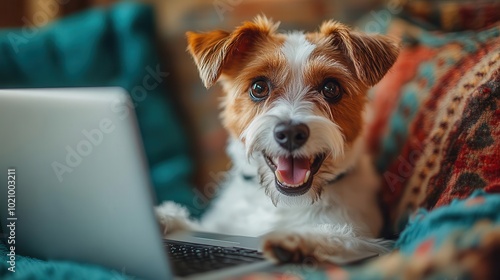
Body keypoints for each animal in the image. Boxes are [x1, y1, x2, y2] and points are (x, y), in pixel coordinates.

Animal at [156, 16, 398, 264]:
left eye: (331, 88)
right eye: (259, 87)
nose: (290, 133)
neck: (283, 204)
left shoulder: (365, 236)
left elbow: (343, 238)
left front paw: (298, 239)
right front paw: (163, 216)